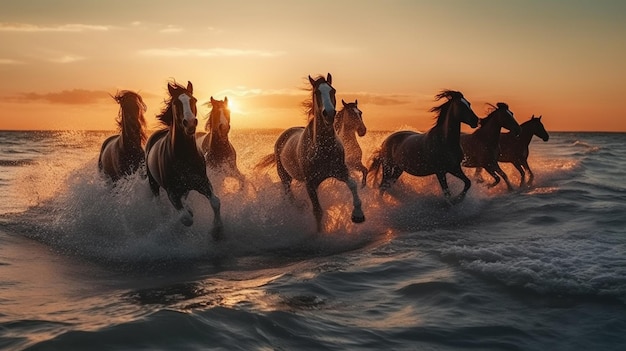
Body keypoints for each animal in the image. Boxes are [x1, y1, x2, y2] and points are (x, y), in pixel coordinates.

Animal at [144, 81, 222, 241]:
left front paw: (217, 231)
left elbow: (215, 202)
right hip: (153, 183)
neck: (184, 155)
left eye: (194, 100)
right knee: (159, 204)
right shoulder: (172, 191)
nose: (190, 123)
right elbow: (186, 218)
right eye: (175, 102)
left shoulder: (202, 182)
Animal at [254, 73, 364, 234]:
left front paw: (358, 215)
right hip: (284, 176)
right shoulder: (310, 184)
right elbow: (317, 211)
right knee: (289, 195)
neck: (323, 147)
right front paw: (319, 234)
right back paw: (299, 207)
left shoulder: (340, 171)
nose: (329, 113)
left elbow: (353, 184)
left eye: (333, 90)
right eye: (317, 92)